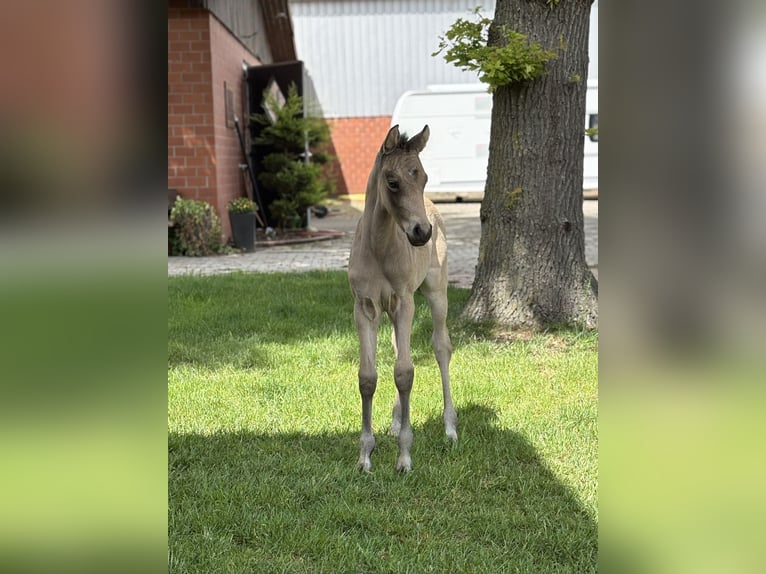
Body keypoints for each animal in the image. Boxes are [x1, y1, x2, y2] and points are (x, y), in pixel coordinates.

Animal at [348, 124, 457, 472]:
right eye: (392, 181)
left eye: (422, 177)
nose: (422, 232)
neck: (379, 248)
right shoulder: (365, 308)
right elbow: (368, 377)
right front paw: (365, 455)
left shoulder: (405, 302)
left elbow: (405, 373)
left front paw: (404, 456)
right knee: (399, 349)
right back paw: (396, 422)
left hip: (436, 292)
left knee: (441, 347)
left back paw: (450, 428)